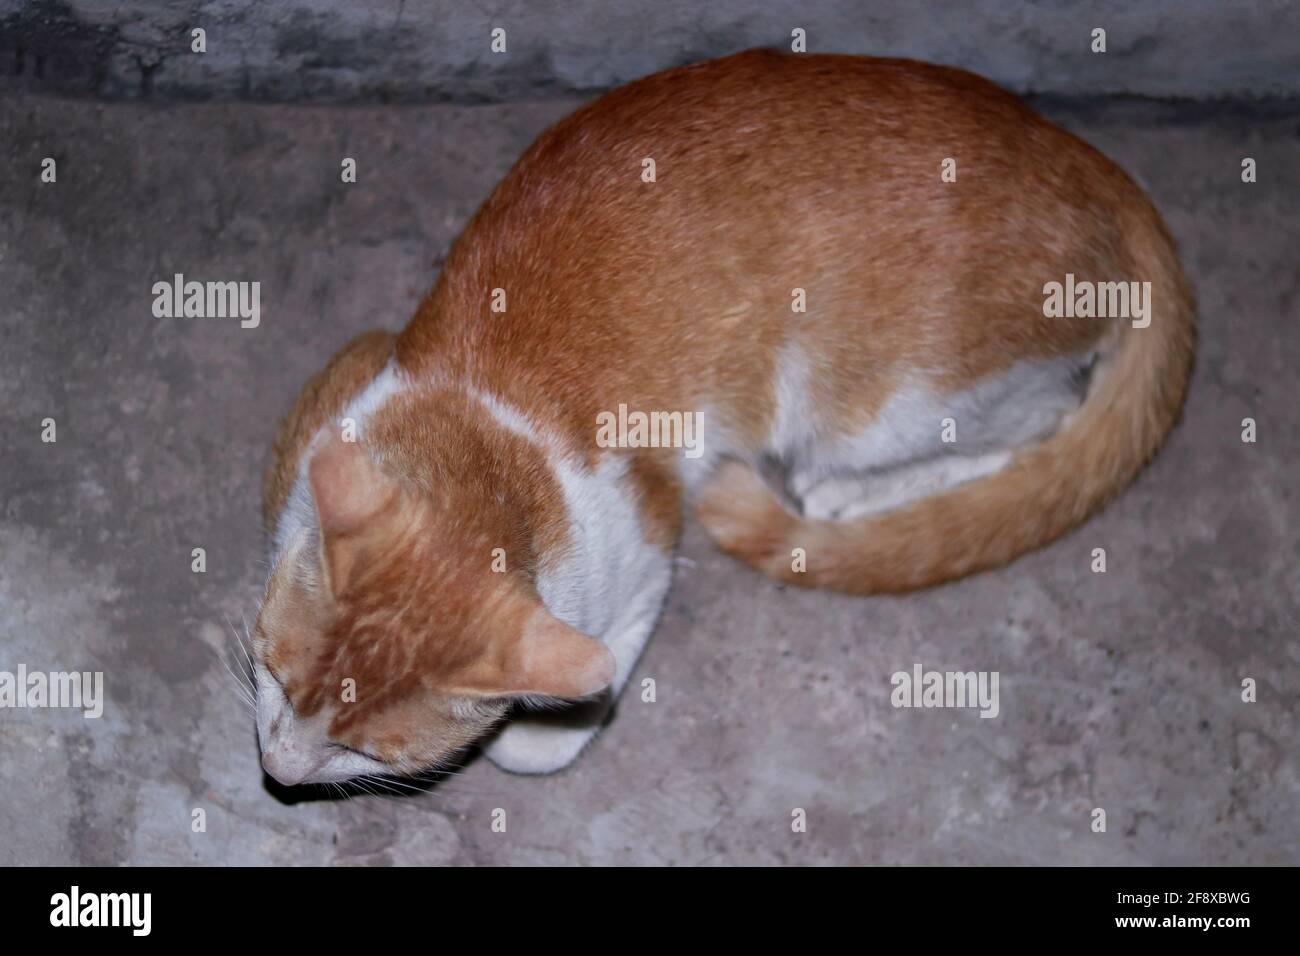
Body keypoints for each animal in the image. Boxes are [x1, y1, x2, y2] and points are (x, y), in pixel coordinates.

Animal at [245, 48, 1190, 790]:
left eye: (367, 753)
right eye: (273, 677)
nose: (280, 772)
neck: (488, 432)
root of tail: (1085, 159)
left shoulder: (644, 543)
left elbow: (563, 707)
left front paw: (536, 733)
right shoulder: (349, 376)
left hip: (879, 403)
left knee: (1045, 417)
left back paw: (856, 494)